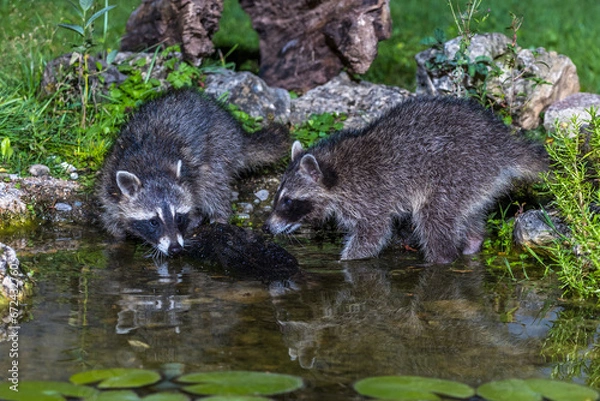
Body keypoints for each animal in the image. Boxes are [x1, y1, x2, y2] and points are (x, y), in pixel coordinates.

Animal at [96, 88, 288, 255]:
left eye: (179, 217)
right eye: (153, 222)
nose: (175, 249)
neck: (151, 170)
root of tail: (237, 133)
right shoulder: (110, 185)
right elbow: (112, 222)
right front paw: (117, 241)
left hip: (220, 148)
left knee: (212, 185)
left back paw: (219, 218)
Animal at [264, 94, 548, 262]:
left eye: (288, 201)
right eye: (278, 197)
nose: (267, 227)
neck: (335, 171)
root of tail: (502, 142)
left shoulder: (369, 196)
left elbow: (372, 235)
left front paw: (345, 261)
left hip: (458, 170)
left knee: (434, 217)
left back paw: (442, 258)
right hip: (475, 181)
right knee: (468, 216)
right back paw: (472, 243)